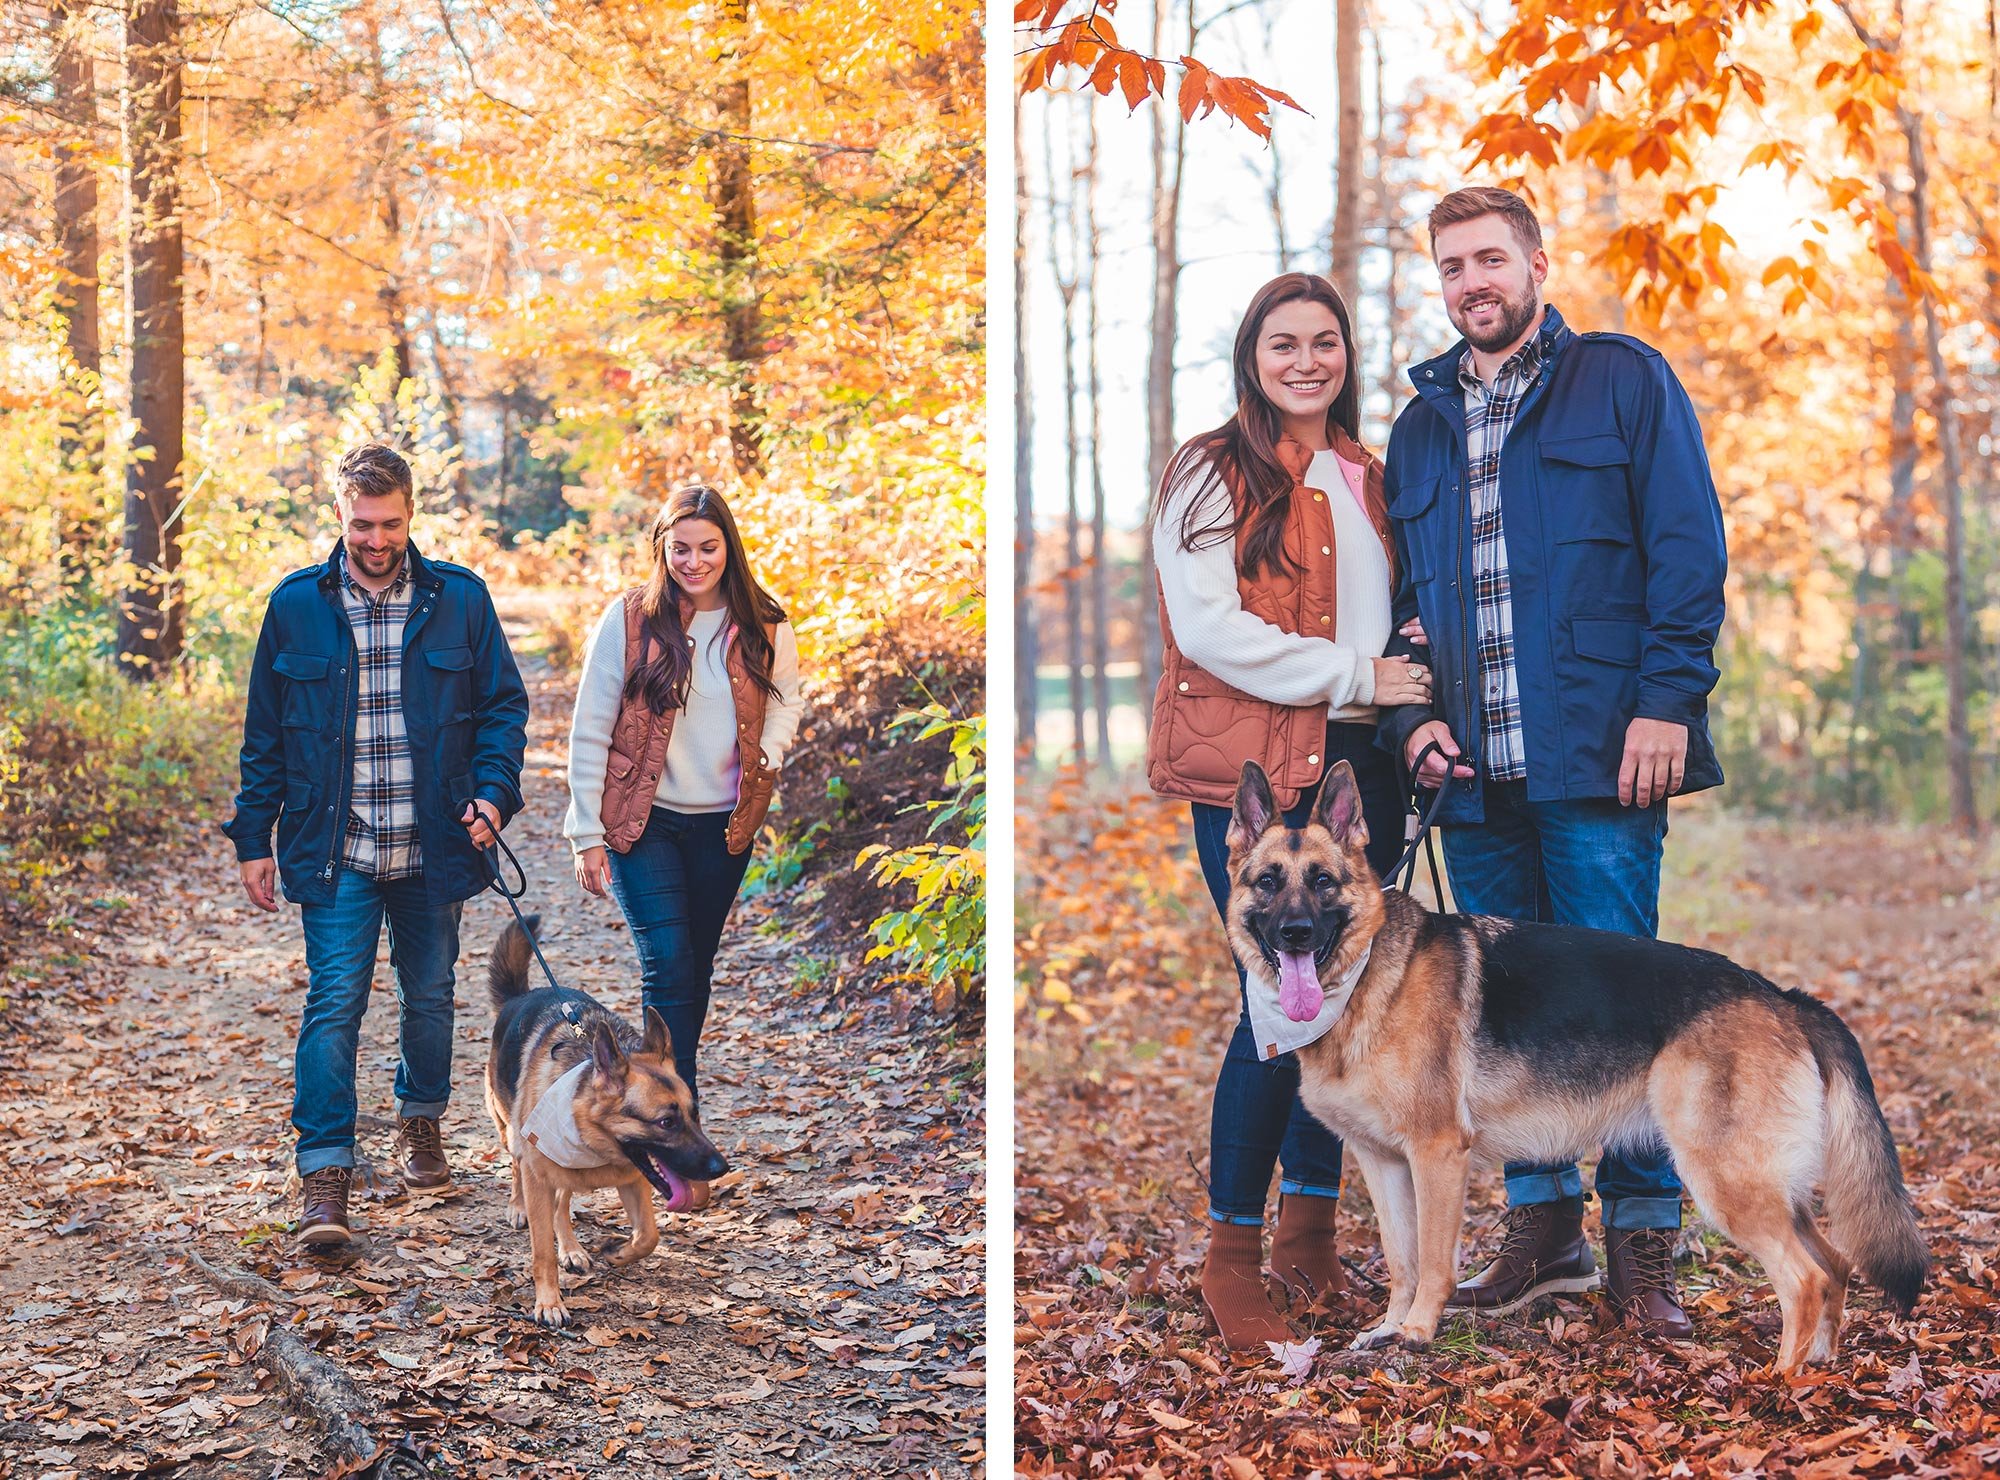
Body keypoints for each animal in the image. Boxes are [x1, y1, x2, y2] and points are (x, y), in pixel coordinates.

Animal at [486, 912, 732, 1328]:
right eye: (666, 1123)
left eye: (694, 1114)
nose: (720, 1168)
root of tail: (522, 996)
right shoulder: (540, 1174)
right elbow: (542, 1251)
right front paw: (548, 1302)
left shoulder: (634, 1180)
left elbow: (648, 1236)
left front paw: (618, 1252)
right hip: (511, 1134)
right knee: (518, 1167)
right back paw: (519, 1207)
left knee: (562, 1204)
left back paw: (571, 1246)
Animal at [1224, 764, 1928, 1376]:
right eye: (1268, 882)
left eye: (1323, 881)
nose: (1294, 933)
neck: (1370, 975)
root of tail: (1781, 996)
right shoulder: (1384, 1162)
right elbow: (1402, 1260)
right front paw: (1390, 1330)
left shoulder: (1436, 1155)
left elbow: (1432, 1261)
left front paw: (1419, 1333)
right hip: (1770, 1185)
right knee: (1834, 1265)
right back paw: (1818, 1365)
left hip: (1725, 1179)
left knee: (1804, 1278)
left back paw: (1778, 1382)